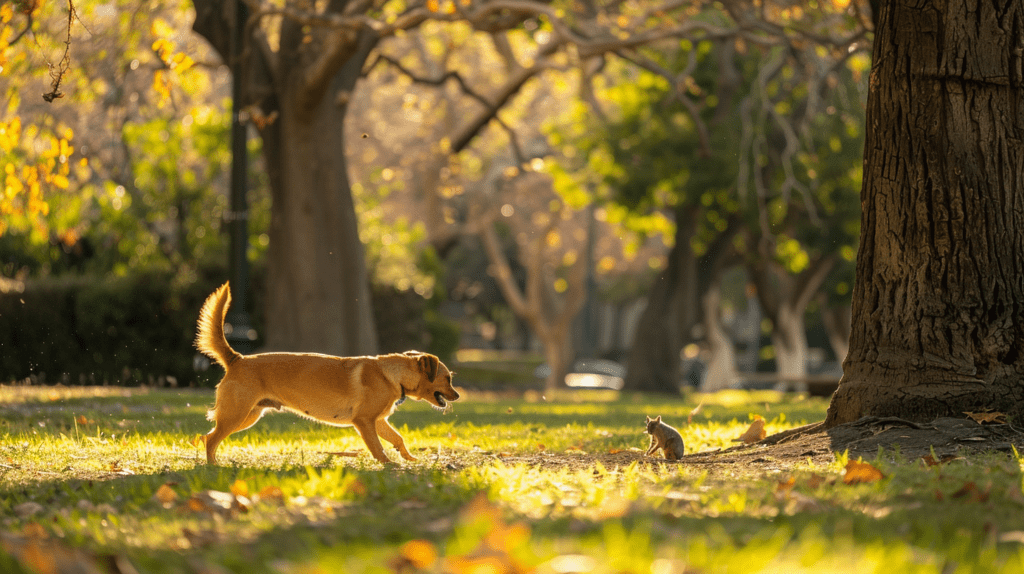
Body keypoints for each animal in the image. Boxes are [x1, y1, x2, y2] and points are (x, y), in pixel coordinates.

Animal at [195, 282, 460, 466]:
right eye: (447, 379)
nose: (457, 396)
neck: (391, 375)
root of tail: (237, 359)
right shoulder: (364, 422)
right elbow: (377, 447)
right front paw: (390, 465)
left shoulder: (379, 421)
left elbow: (397, 438)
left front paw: (409, 458)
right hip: (236, 415)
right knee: (212, 439)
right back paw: (213, 466)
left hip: (247, 416)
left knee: (208, 436)